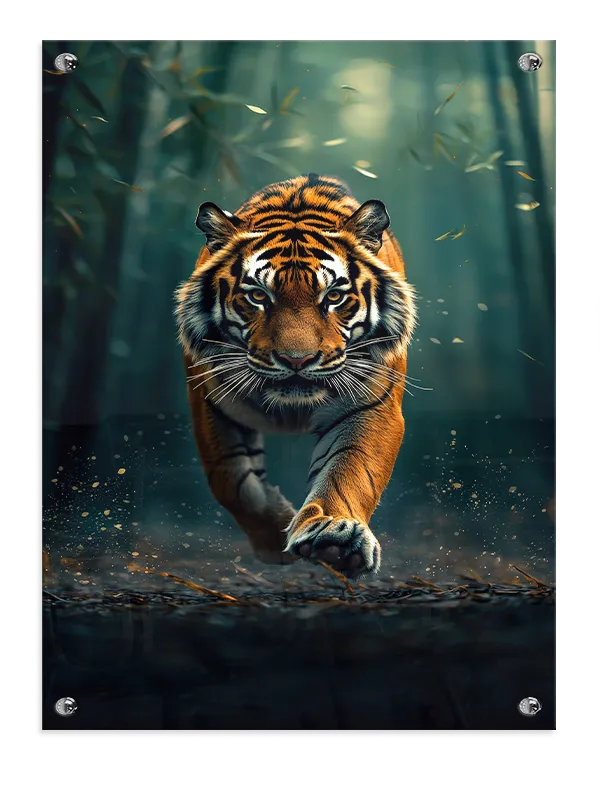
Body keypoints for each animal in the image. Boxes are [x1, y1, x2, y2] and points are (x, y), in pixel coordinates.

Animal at [175, 173, 416, 578]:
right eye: (258, 296)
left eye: (333, 297)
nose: (297, 360)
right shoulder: (211, 404)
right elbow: (233, 480)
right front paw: (276, 539)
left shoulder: (372, 406)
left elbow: (349, 468)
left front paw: (334, 538)